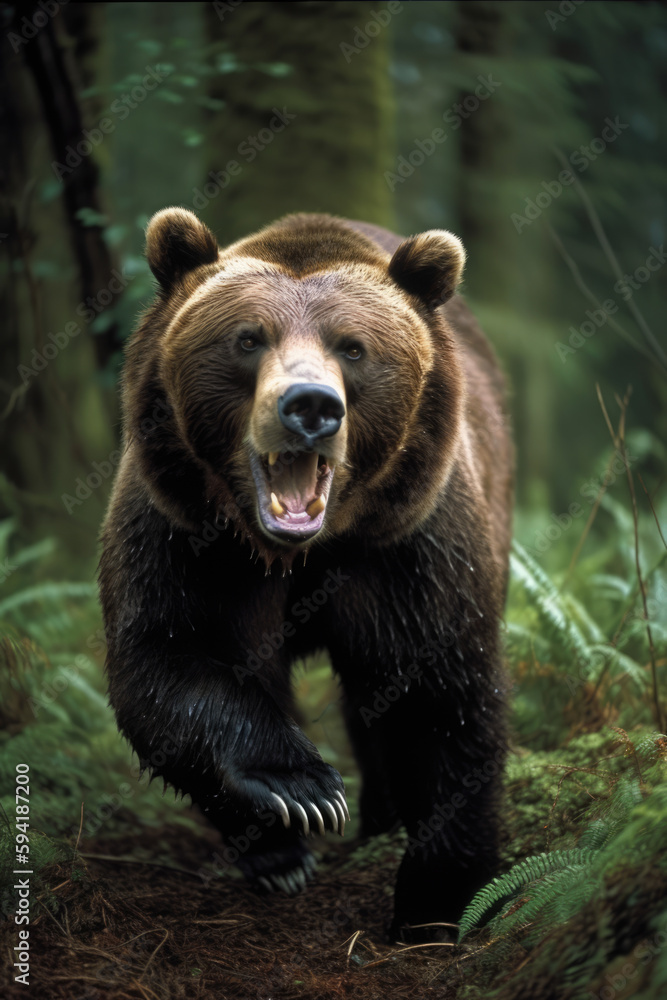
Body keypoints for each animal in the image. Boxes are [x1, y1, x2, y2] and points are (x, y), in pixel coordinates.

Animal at [99, 207, 516, 940]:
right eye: (247, 338)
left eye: (352, 348)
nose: (311, 406)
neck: (302, 553)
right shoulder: (183, 535)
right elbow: (168, 659)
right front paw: (301, 790)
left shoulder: (409, 547)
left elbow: (442, 694)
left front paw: (438, 901)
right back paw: (278, 855)